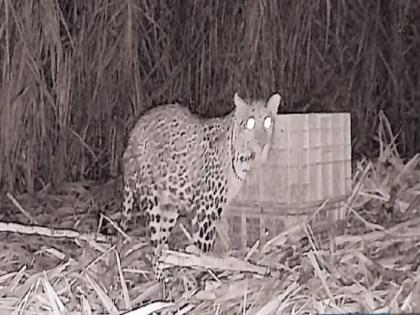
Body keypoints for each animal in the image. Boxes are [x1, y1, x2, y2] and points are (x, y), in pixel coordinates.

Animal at [120, 92, 280, 282]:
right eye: (250, 123)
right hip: (153, 201)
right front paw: (207, 270)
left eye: (268, 121)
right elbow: (204, 247)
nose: (262, 143)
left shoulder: (218, 210)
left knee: (160, 242)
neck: (244, 159)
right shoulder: (206, 209)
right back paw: (160, 275)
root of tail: (133, 133)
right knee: (154, 239)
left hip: (170, 208)